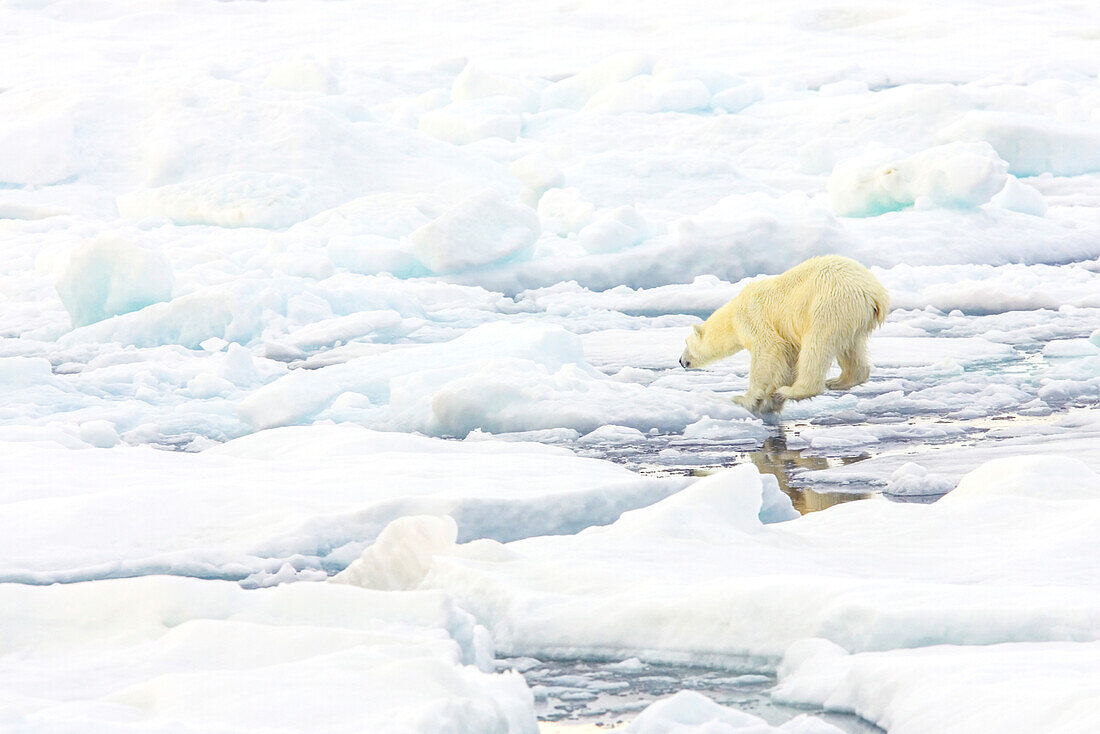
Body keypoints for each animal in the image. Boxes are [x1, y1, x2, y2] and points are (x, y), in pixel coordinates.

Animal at [673, 254, 888, 413]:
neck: (732, 317)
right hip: (853, 319)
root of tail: (874, 294)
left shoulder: (754, 320)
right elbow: (786, 360)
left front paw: (745, 399)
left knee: (816, 347)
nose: (681, 361)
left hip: (828, 305)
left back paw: (792, 391)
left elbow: (768, 352)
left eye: (686, 342)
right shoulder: (786, 337)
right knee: (851, 348)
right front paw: (769, 401)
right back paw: (838, 381)